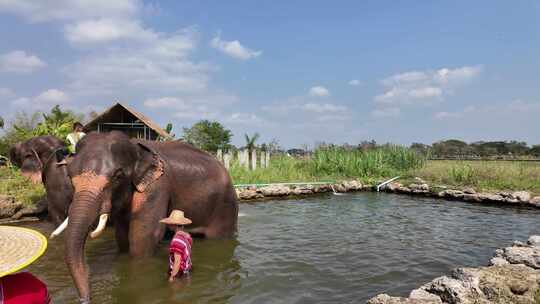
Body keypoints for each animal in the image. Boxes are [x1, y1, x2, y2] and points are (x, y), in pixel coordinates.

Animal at [56, 131, 238, 302]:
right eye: (69, 176)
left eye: (118, 176)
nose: (85, 299)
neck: (135, 147)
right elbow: (122, 237)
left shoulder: (156, 187)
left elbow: (143, 237)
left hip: (224, 207)